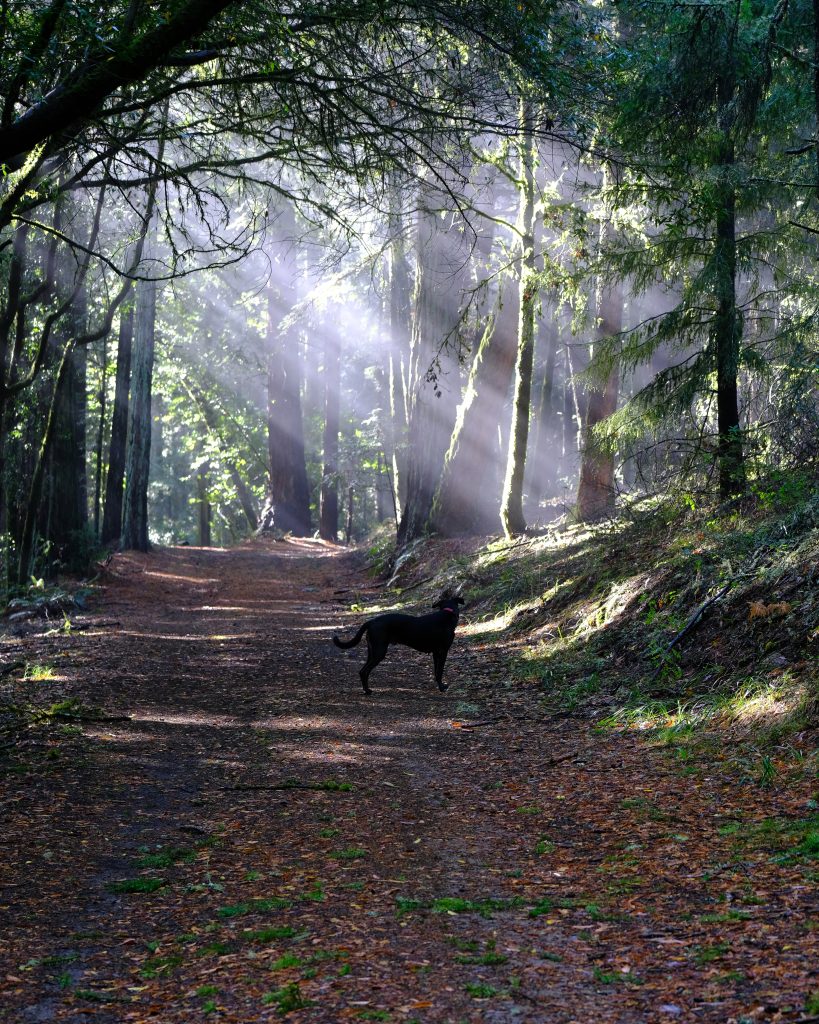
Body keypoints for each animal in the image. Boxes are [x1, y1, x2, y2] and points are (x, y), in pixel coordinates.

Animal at [331, 593, 460, 696]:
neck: (447, 614)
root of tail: (371, 621)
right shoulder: (443, 651)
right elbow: (440, 671)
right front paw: (442, 688)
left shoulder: (435, 653)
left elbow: (436, 671)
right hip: (379, 652)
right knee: (364, 671)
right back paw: (367, 691)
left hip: (372, 651)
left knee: (362, 671)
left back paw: (366, 690)